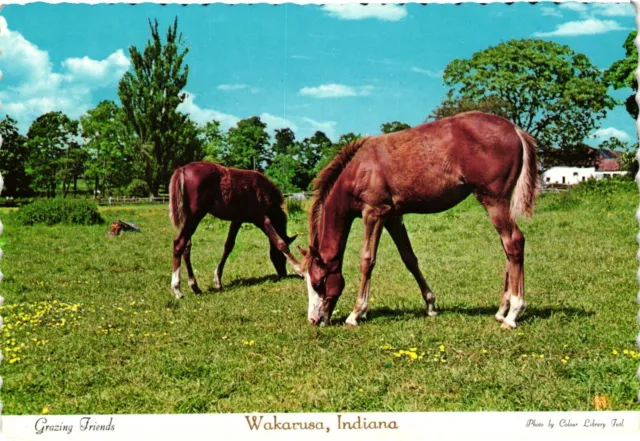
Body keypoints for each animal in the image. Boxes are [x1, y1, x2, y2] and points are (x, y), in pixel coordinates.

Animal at [169, 162, 302, 300]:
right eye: (280, 256)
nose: (283, 273)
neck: (262, 190)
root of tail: (182, 169)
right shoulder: (261, 219)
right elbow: (280, 242)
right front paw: (300, 269)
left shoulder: (237, 220)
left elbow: (229, 246)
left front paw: (218, 280)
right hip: (195, 216)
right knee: (179, 243)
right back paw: (177, 289)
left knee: (186, 247)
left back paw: (195, 286)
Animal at [300, 111, 536, 328]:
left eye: (318, 282)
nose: (314, 320)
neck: (359, 169)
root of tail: (514, 129)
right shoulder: (392, 217)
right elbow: (409, 258)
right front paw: (430, 305)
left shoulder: (373, 214)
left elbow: (367, 260)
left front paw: (356, 313)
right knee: (507, 249)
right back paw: (502, 310)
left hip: (494, 202)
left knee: (514, 242)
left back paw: (513, 314)